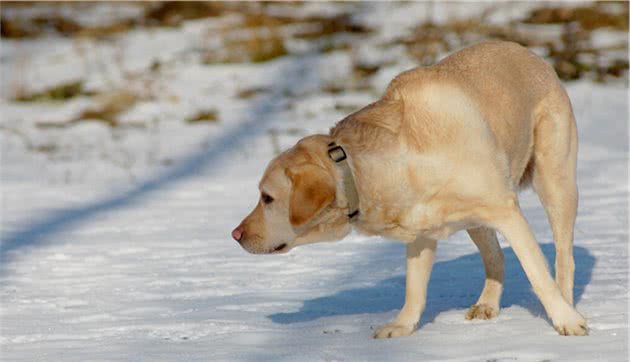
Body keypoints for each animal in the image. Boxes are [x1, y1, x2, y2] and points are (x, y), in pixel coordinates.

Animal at [232, 41, 588, 338]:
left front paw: (567, 320)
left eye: (267, 198)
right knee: (495, 256)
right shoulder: (420, 233)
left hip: (555, 182)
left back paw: (567, 303)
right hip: (475, 221)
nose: (235, 234)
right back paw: (487, 303)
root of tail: (530, 53)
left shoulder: (506, 211)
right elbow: (414, 289)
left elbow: (538, 275)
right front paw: (402, 327)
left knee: (563, 259)